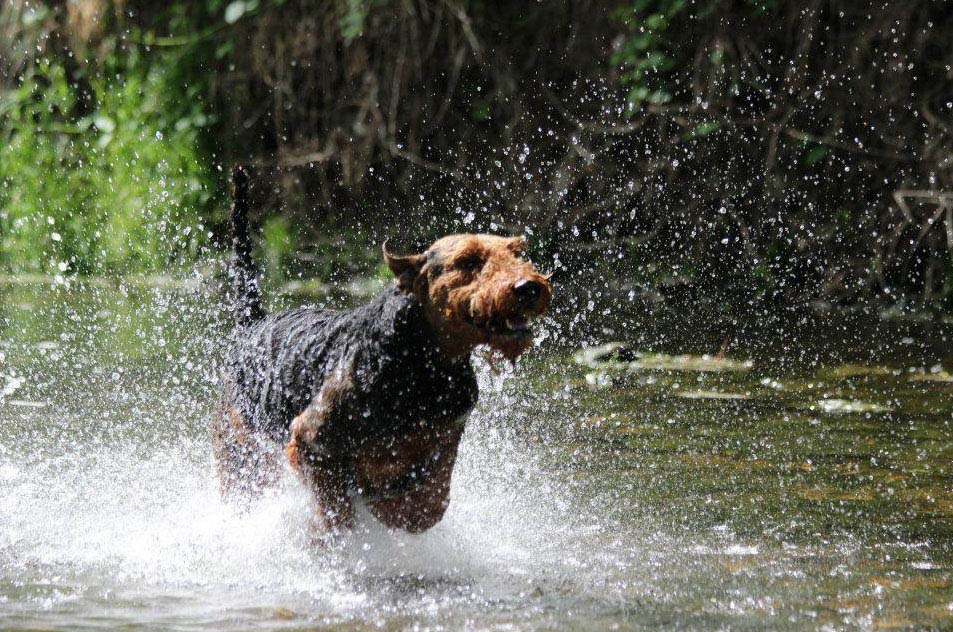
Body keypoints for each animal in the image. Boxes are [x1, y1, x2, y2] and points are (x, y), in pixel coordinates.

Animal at [214, 168, 552, 532]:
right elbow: (337, 510)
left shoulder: (445, 441)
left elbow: (428, 503)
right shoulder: (311, 439)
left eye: (516, 252)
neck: (422, 363)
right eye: (467, 261)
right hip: (242, 456)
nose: (529, 288)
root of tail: (252, 323)